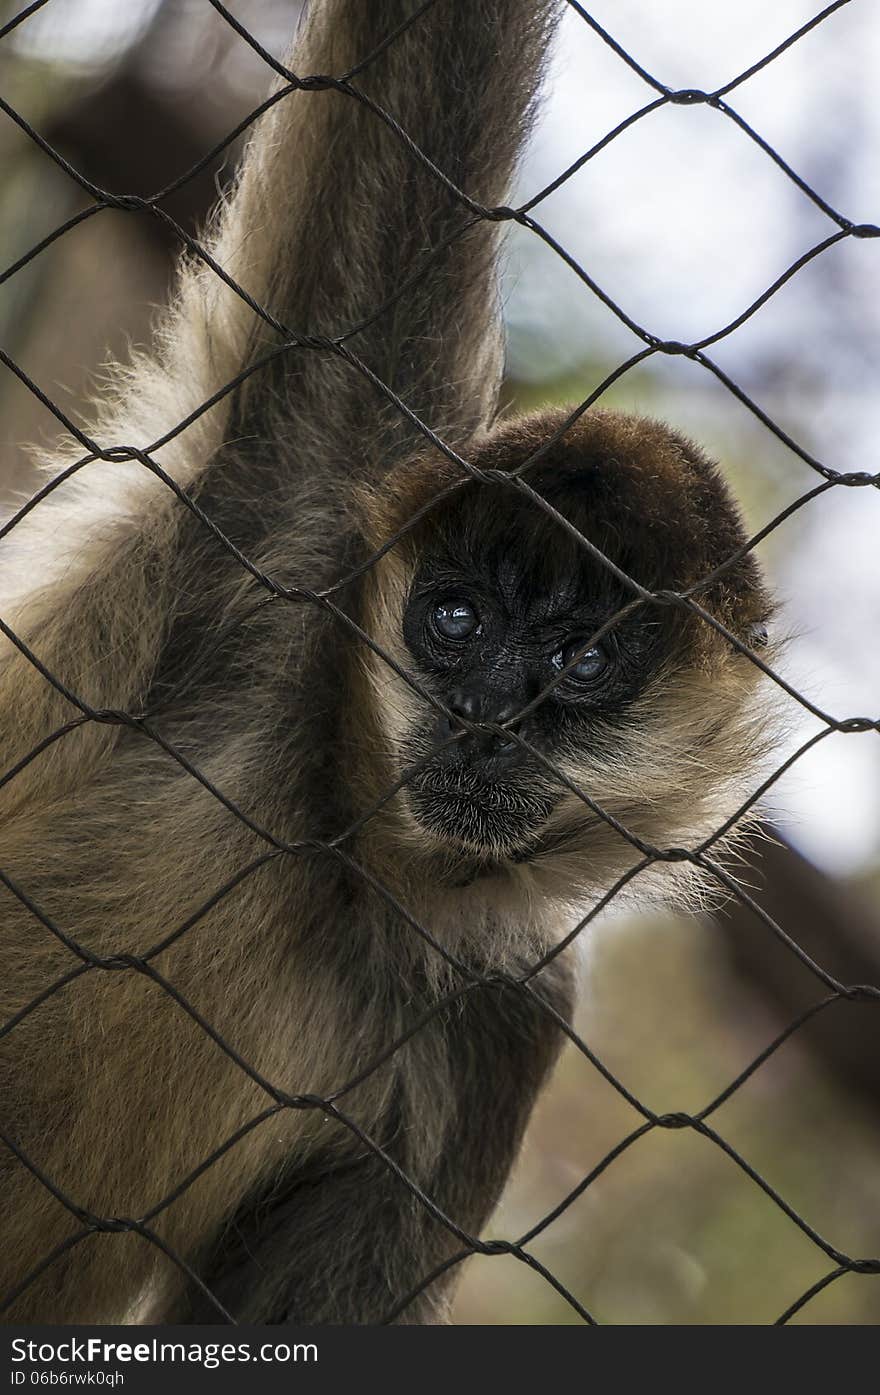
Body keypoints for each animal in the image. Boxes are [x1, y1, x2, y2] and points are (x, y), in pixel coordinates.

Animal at [0, 2, 769, 1328]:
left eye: (578, 659)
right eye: (453, 621)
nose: (484, 718)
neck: (358, 873)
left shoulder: (505, 1020)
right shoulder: (296, 511)